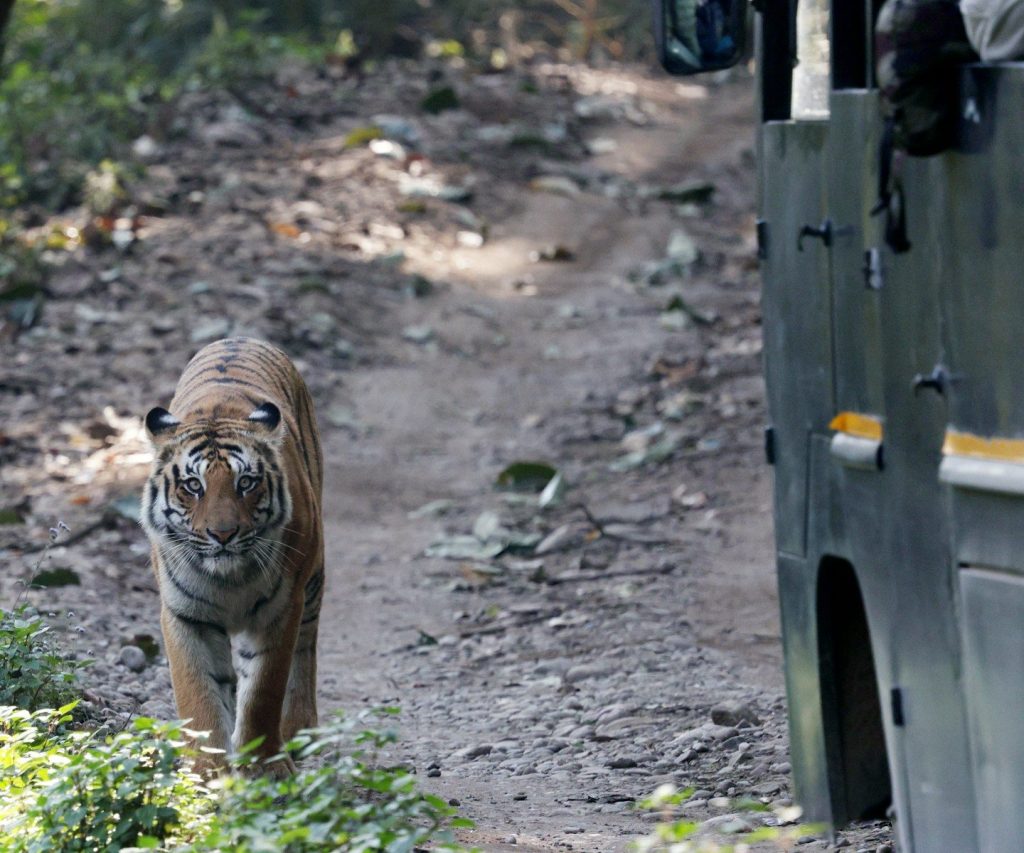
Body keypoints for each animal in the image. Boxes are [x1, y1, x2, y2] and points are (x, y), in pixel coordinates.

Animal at [141, 337, 324, 777]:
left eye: (246, 483)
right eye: (193, 485)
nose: (222, 534)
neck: (229, 579)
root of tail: (239, 337)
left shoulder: (281, 609)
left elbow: (263, 692)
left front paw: (265, 767)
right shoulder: (185, 615)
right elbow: (199, 697)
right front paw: (207, 771)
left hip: (313, 579)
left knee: (306, 647)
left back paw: (298, 729)